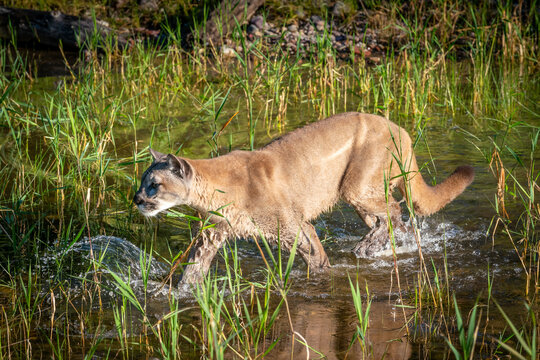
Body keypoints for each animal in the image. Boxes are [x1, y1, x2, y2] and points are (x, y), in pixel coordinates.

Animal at [134, 112, 472, 284]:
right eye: (142, 182)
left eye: (154, 185)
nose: (136, 199)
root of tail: (399, 127)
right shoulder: (211, 235)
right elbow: (193, 270)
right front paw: (175, 294)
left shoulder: (295, 226)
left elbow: (316, 257)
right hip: (363, 193)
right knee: (386, 217)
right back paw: (375, 245)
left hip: (356, 186)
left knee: (394, 212)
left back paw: (367, 247)